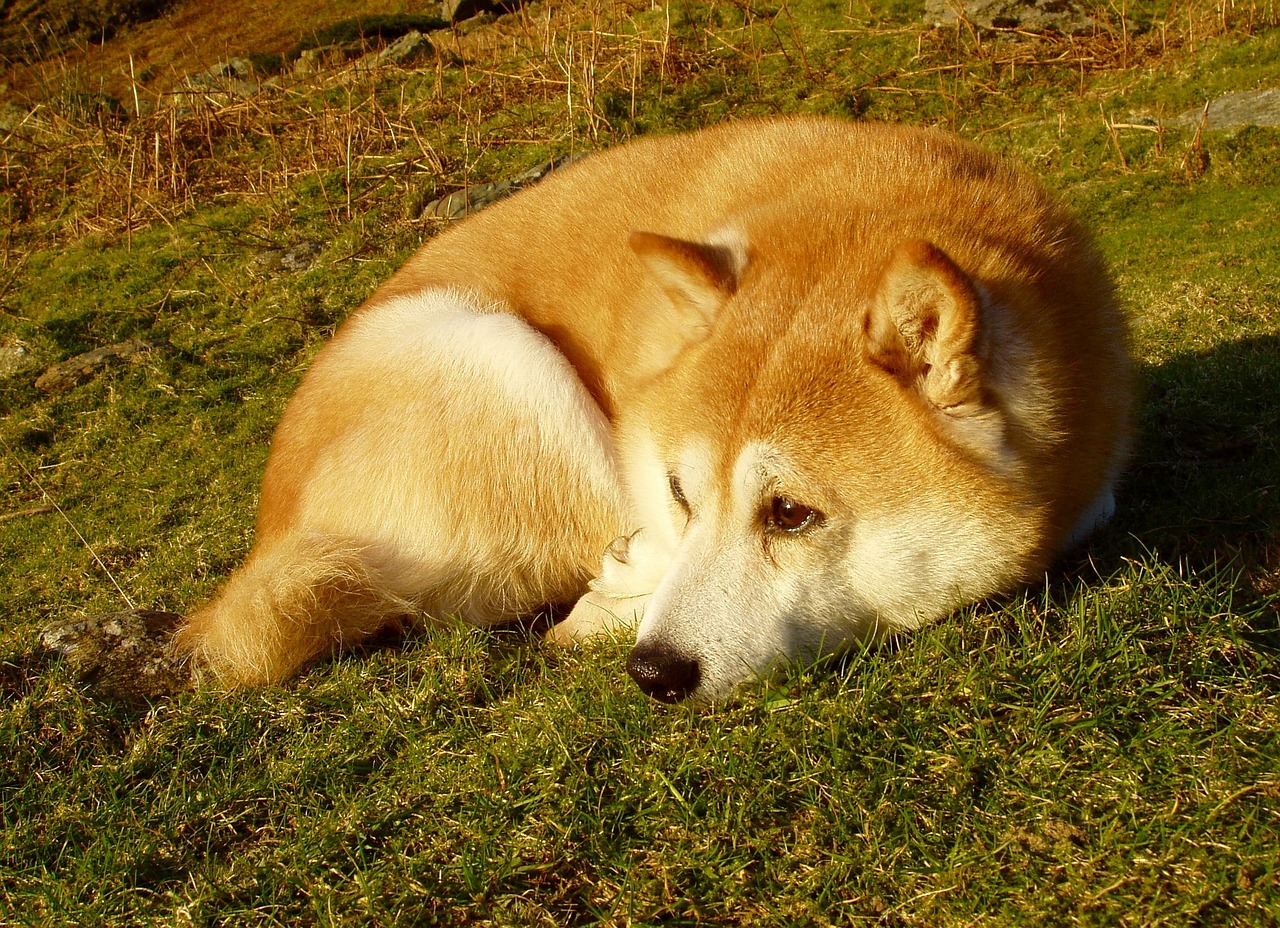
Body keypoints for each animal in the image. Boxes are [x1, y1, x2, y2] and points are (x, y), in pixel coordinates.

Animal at [175, 119, 1136, 706]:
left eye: (791, 512)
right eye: (682, 492)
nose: (654, 671)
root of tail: (271, 536)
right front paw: (629, 585)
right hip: (504, 358)